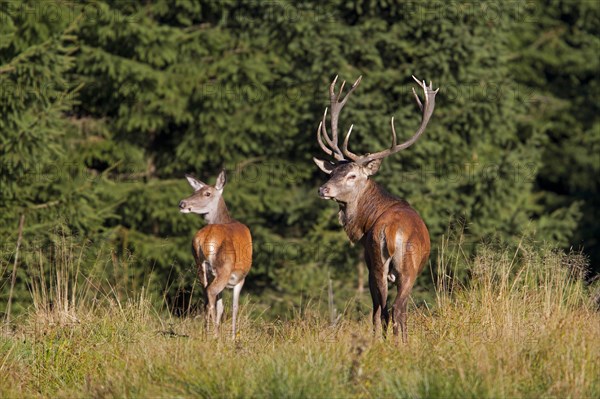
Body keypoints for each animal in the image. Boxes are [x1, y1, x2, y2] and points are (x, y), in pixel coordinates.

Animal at [312, 76, 438, 344]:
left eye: (351, 175)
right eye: (332, 171)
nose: (323, 189)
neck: (364, 225)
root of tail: (390, 233)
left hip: (381, 266)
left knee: (385, 309)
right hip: (396, 268)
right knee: (393, 309)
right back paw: (398, 344)